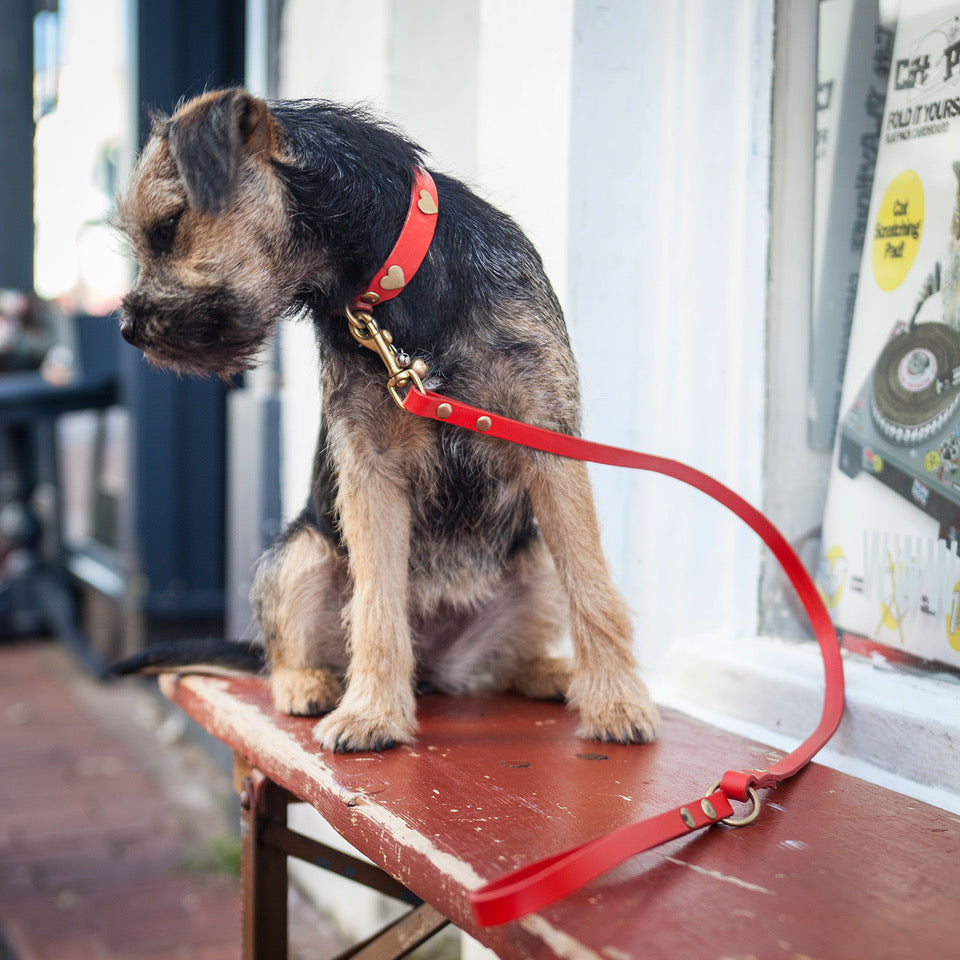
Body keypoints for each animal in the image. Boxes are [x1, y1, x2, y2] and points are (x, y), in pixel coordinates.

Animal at [114, 86, 660, 752]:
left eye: (168, 227)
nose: (127, 328)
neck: (402, 290)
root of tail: (436, 664)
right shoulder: (370, 468)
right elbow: (376, 602)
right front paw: (372, 712)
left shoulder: (547, 441)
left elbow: (593, 586)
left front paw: (615, 700)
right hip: (298, 555)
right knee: (284, 652)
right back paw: (310, 684)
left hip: (534, 562)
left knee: (508, 659)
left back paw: (554, 672)